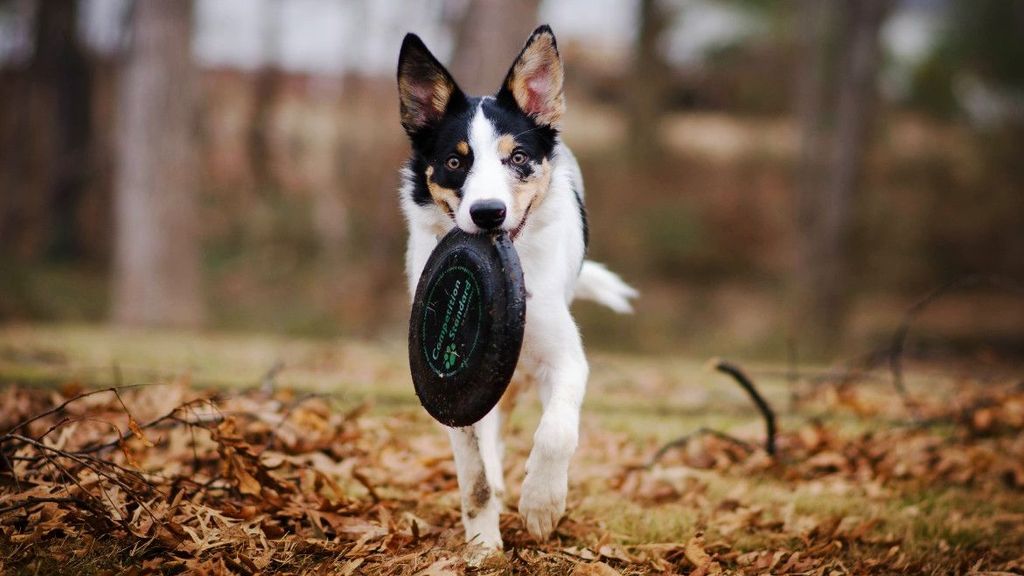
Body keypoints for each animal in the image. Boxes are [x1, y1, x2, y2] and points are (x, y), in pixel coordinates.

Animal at [395, 25, 634, 557]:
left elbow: (556, 433)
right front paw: (483, 546)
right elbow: (476, 477)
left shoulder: (564, 358)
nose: (488, 213)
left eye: (518, 158)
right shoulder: (457, 398)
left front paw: (542, 505)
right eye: (454, 161)